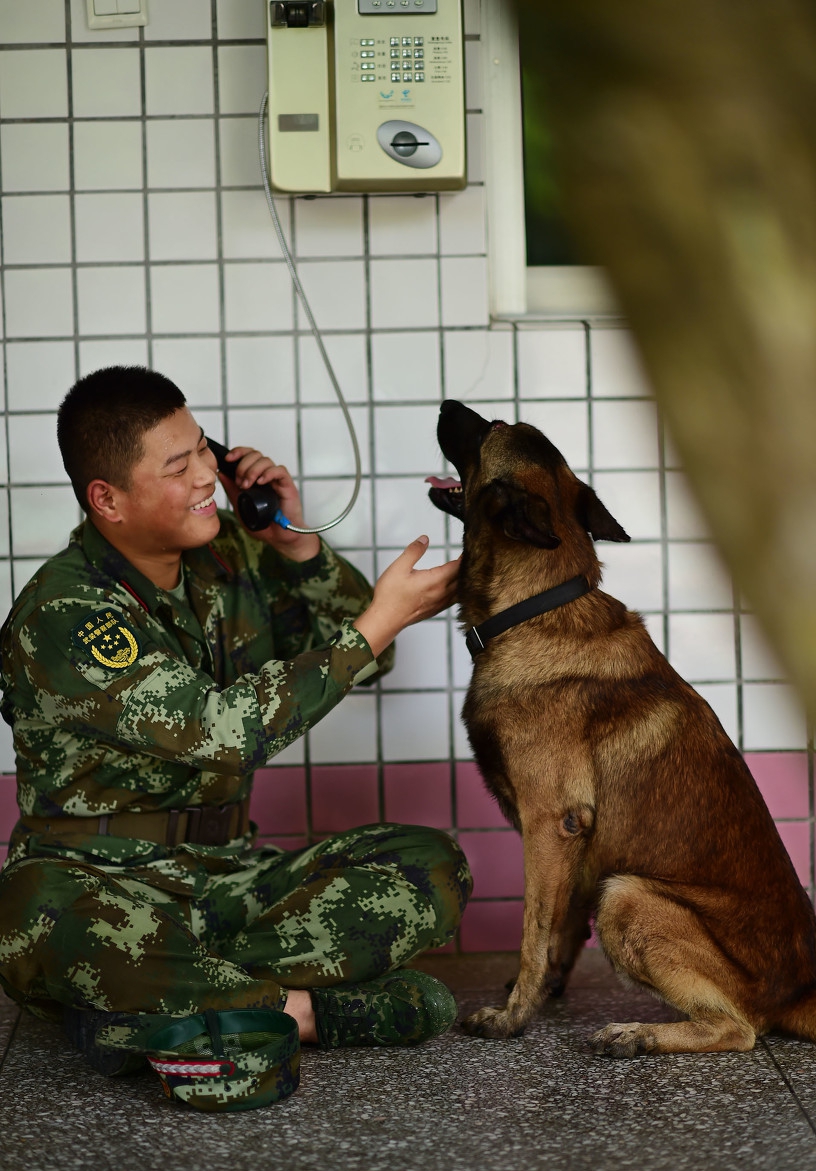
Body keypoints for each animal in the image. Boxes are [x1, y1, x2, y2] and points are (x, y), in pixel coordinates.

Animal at [426, 400, 814, 1053]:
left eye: (488, 430)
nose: (446, 404)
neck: (539, 606)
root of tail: (796, 994)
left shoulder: (551, 824)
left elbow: (533, 931)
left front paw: (513, 1016)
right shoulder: (572, 846)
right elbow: (558, 930)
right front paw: (545, 993)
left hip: (627, 895)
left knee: (737, 1030)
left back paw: (639, 1035)